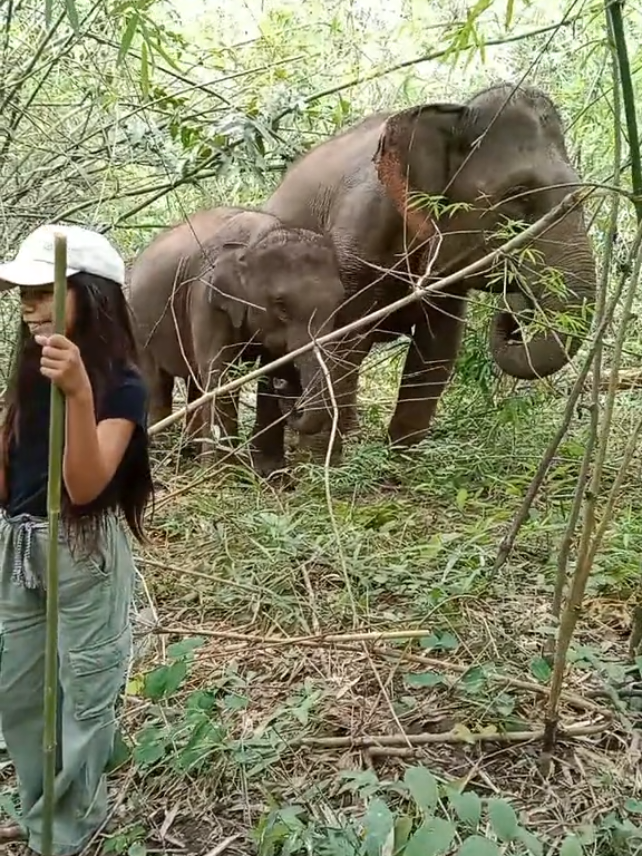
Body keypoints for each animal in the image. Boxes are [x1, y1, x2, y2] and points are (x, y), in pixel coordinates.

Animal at [127, 206, 346, 476]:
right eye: (281, 306)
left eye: (339, 303)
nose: (285, 389)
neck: (257, 240)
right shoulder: (206, 299)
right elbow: (223, 375)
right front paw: (222, 474)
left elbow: (273, 366)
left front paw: (268, 472)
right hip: (138, 321)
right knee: (157, 382)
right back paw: (161, 451)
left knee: (194, 381)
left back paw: (188, 449)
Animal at [263, 81, 597, 454]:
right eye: (518, 195)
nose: (516, 307)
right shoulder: (357, 240)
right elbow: (337, 340)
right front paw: (318, 459)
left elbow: (437, 348)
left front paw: (401, 455)